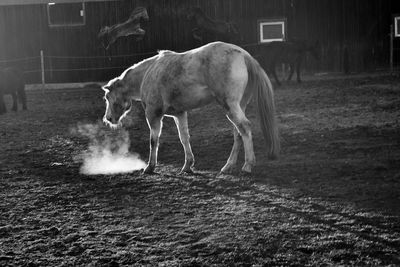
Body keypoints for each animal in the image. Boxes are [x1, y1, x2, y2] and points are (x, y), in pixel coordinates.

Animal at [101, 41, 280, 176]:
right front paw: (188, 165)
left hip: (231, 106)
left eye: (108, 98)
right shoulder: (179, 114)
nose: (108, 118)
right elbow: (184, 138)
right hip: (238, 106)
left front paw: (150, 167)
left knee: (245, 128)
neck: (148, 73)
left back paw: (248, 165)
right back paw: (228, 166)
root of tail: (243, 55)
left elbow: (154, 140)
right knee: (238, 133)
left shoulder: (153, 114)